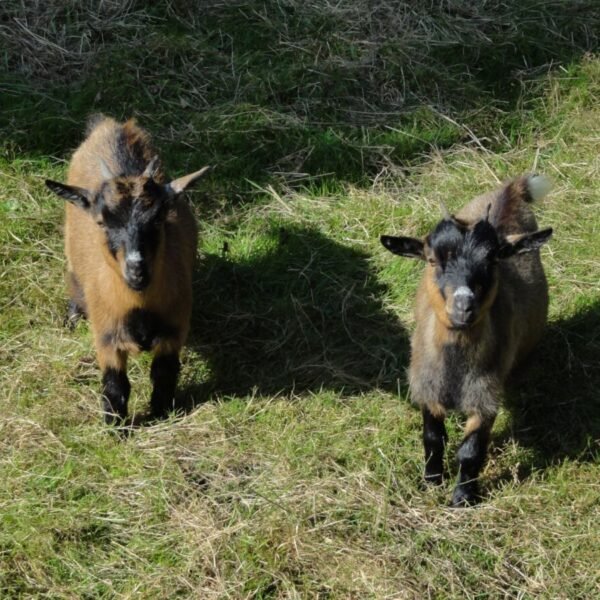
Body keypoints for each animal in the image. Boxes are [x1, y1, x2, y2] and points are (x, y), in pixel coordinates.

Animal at [45, 116, 209, 422]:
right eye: (101, 222)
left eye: (159, 218)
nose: (137, 270)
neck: (138, 307)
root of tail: (108, 126)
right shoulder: (106, 336)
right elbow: (115, 384)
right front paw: (114, 424)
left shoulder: (175, 328)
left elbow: (164, 373)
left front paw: (160, 412)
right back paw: (72, 317)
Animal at [382, 175, 552, 506]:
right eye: (431, 260)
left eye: (493, 260)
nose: (464, 306)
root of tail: (509, 190)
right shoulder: (427, 385)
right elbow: (433, 438)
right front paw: (431, 481)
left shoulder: (485, 395)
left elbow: (471, 450)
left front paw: (462, 498)